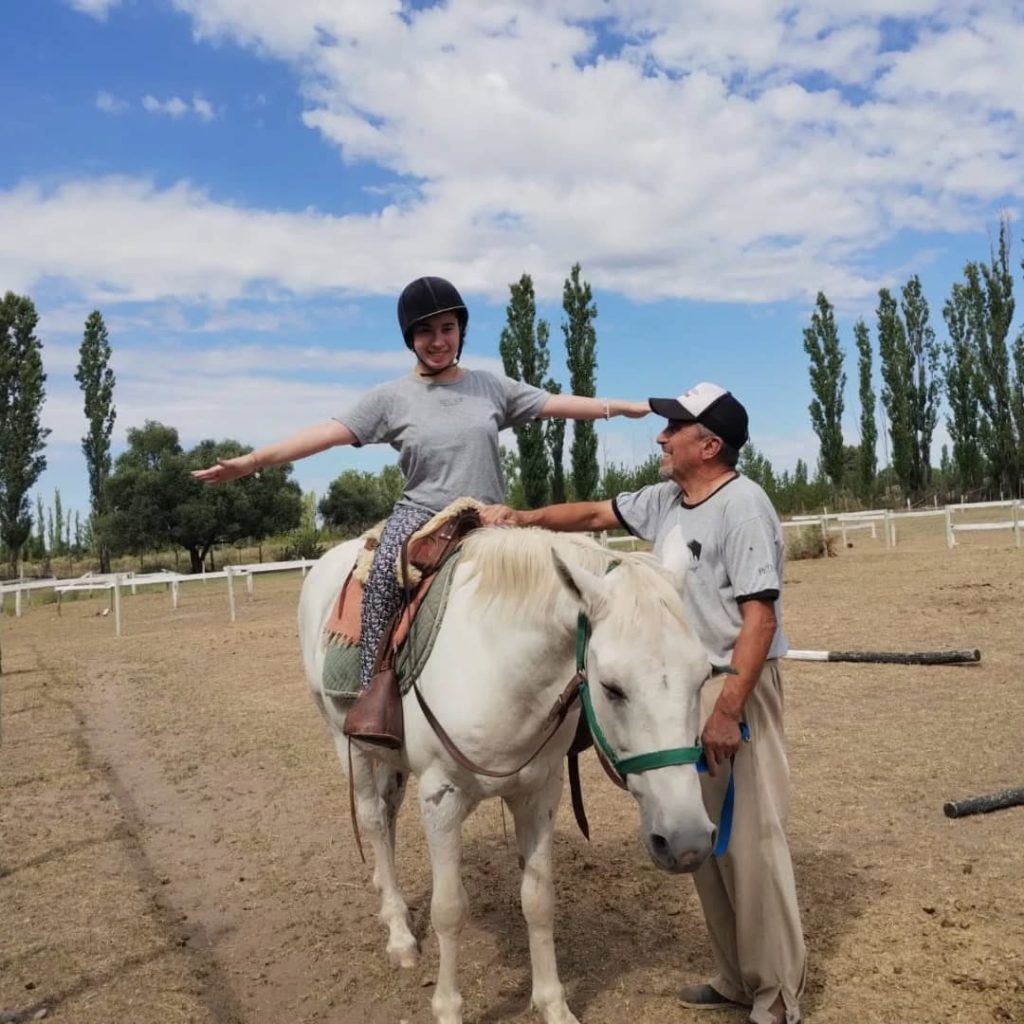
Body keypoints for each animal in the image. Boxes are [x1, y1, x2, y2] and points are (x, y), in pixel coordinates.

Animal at [299, 525, 717, 1024]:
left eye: (704, 677)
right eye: (613, 688)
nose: (688, 841)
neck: (499, 665)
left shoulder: (540, 792)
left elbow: (538, 901)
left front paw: (553, 1005)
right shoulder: (440, 797)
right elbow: (448, 909)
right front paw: (448, 1008)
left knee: (388, 812)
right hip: (348, 746)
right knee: (373, 819)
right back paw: (398, 932)